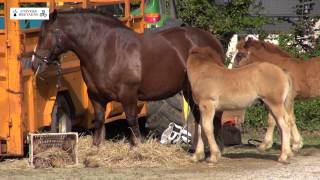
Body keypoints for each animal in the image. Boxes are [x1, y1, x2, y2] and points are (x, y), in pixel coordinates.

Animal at [31, 9, 224, 148]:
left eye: (45, 35)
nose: (35, 64)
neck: (105, 49)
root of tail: (212, 39)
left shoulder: (128, 95)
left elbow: (132, 121)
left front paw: (138, 148)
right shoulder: (96, 97)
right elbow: (99, 121)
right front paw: (96, 148)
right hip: (188, 90)